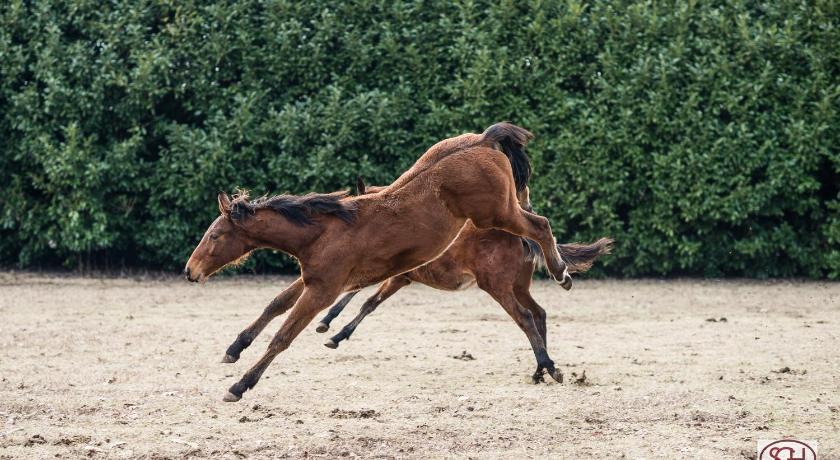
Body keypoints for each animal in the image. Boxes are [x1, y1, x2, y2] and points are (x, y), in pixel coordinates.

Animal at [184, 123, 573, 402]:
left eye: (214, 236)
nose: (190, 271)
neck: (322, 231)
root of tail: (482, 139)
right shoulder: (315, 280)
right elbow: (275, 304)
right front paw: (233, 349)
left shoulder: (323, 290)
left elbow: (283, 336)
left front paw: (239, 386)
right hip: (502, 212)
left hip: (496, 214)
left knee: (539, 230)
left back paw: (558, 296)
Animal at [315, 179, 613, 384]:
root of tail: (518, 234)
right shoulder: (397, 277)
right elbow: (363, 299)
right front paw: (329, 326)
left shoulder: (398, 277)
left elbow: (365, 300)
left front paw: (333, 332)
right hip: (518, 286)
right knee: (539, 313)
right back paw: (540, 370)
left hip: (496, 285)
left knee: (525, 317)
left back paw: (548, 366)